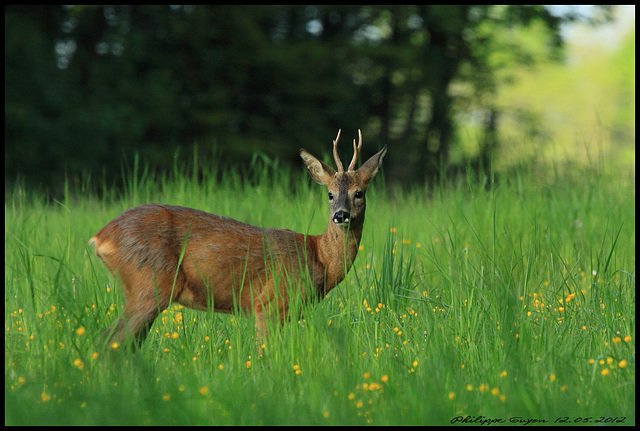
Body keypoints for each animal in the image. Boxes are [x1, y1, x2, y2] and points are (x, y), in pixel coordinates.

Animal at [89, 130, 384, 352]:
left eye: (359, 193)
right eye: (330, 194)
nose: (341, 215)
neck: (319, 258)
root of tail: (100, 236)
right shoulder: (268, 304)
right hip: (148, 282)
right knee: (109, 343)